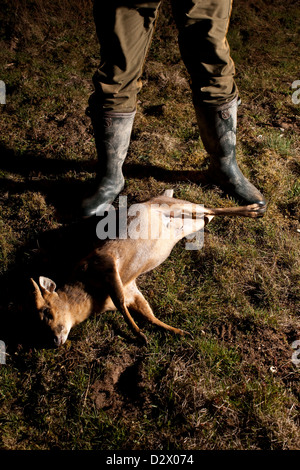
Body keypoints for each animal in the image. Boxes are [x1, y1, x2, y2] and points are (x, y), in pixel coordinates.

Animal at [31, 189, 264, 346]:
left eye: (46, 311)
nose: (54, 340)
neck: (90, 295)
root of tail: (165, 194)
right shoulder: (132, 290)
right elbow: (148, 313)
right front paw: (180, 332)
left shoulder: (106, 262)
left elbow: (120, 302)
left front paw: (140, 336)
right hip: (189, 222)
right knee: (207, 215)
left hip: (177, 205)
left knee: (211, 207)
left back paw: (256, 209)